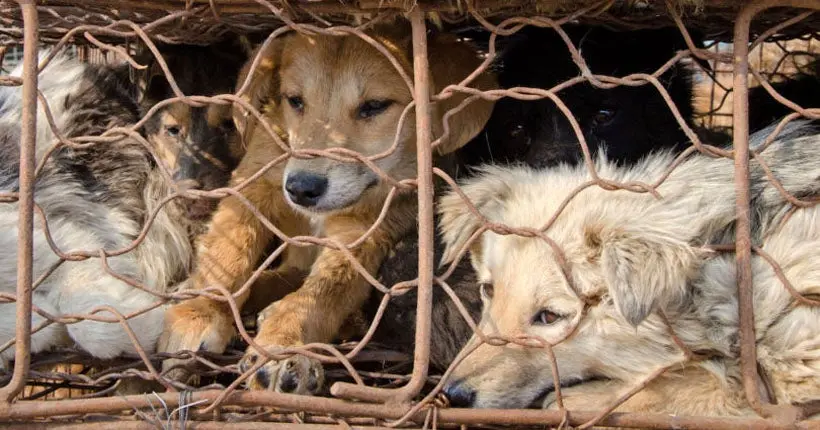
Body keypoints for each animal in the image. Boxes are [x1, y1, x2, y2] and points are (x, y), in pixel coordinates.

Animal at [158, 22, 496, 394]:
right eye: (295, 101)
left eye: (375, 105)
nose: (302, 188)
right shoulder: (253, 181)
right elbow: (227, 252)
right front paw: (199, 311)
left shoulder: (362, 231)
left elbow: (322, 293)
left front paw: (283, 343)